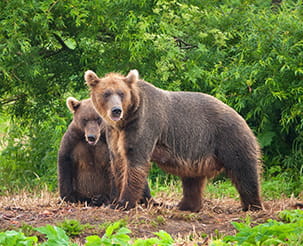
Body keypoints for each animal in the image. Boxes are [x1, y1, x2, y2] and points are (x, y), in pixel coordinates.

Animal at [85, 69, 264, 211]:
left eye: (121, 93)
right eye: (106, 93)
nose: (116, 110)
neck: (126, 119)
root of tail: (241, 116)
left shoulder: (143, 124)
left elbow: (135, 161)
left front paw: (123, 203)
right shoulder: (115, 134)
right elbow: (119, 163)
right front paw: (115, 200)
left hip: (229, 138)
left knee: (244, 171)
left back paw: (252, 206)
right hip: (196, 152)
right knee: (192, 180)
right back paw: (185, 205)